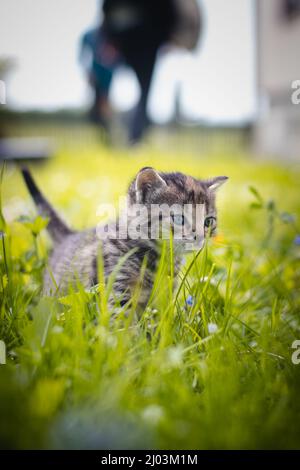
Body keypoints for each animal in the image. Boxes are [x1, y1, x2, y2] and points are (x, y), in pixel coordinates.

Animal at [21, 167, 227, 310]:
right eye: (179, 218)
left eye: (208, 221)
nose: (200, 237)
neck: (155, 257)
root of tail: (69, 236)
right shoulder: (115, 287)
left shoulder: (163, 293)